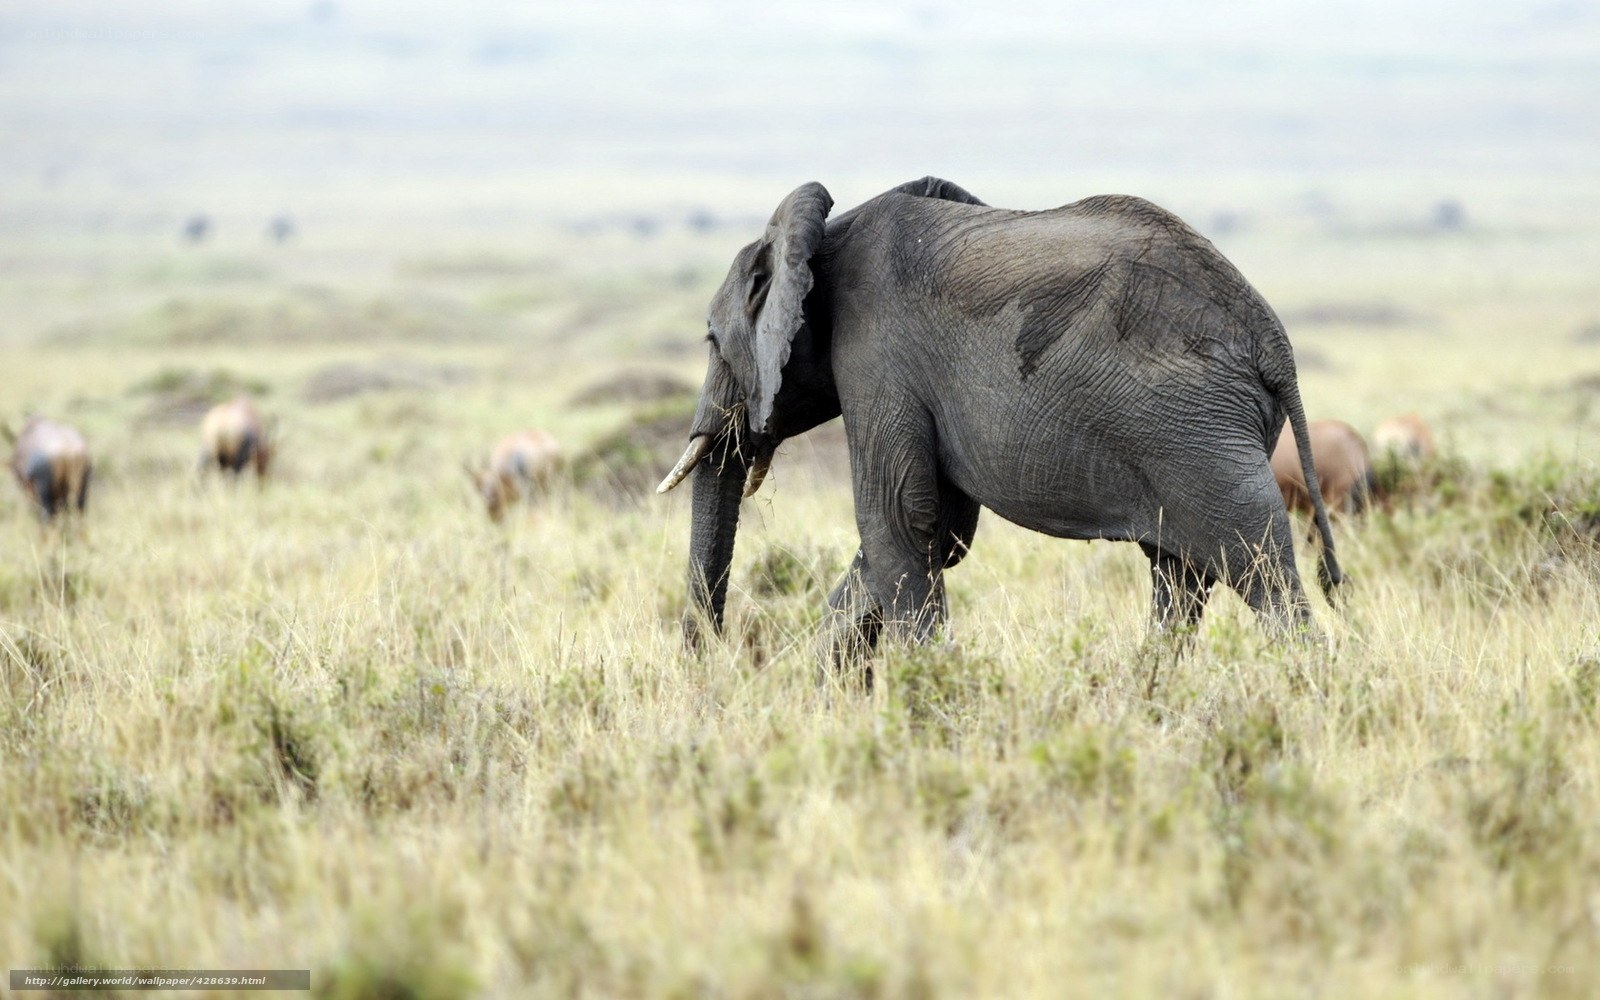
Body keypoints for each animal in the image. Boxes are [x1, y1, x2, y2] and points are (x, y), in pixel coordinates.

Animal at [657, 177, 1342, 660]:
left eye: (711, 341)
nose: (710, 657)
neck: (825, 235)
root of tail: (1273, 340)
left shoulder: (877, 357)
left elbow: (898, 519)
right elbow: (938, 531)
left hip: (1198, 435)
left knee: (1258, 565)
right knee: (1180, 574)